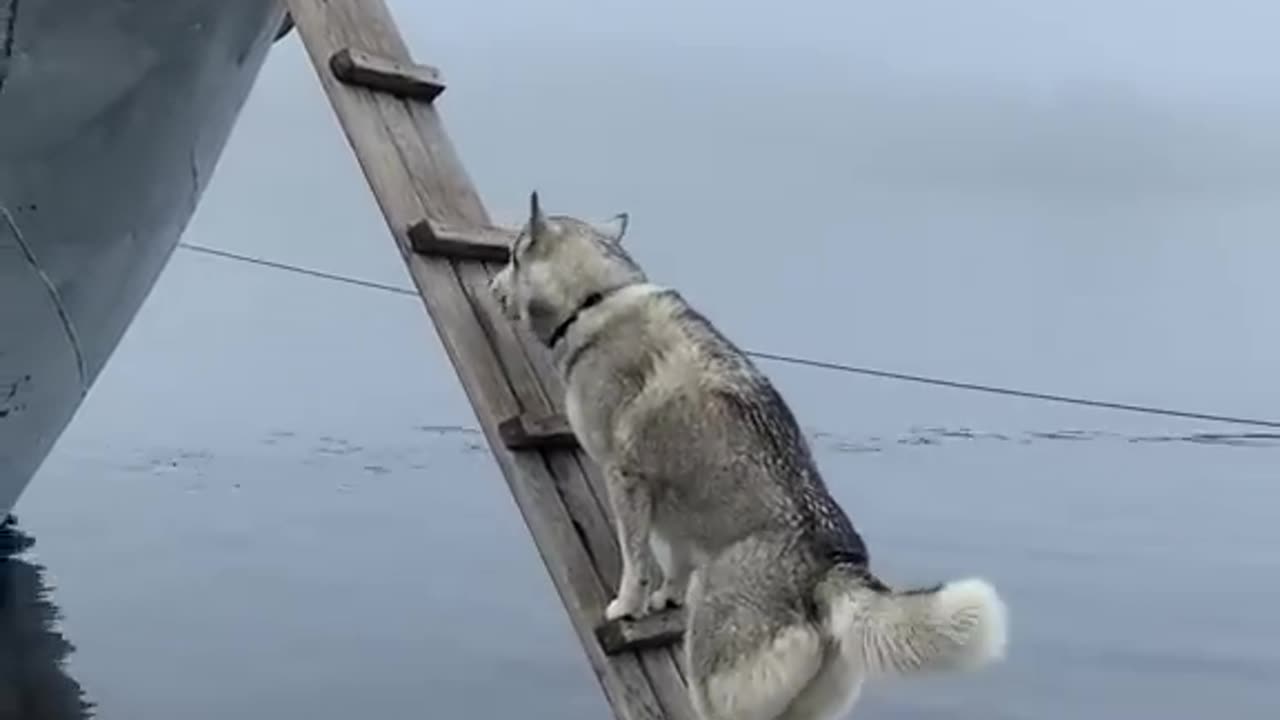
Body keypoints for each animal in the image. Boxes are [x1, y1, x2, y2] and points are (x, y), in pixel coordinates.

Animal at [488, 192, 1008, 717]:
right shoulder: (674, 501)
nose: (491, 288)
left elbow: (636, 561)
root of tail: (833, 567)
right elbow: (676, 559)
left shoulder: (625, 477)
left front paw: (627, 606)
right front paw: (667, 597)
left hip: (714, 680)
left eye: (512, 255)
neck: (599, 297)